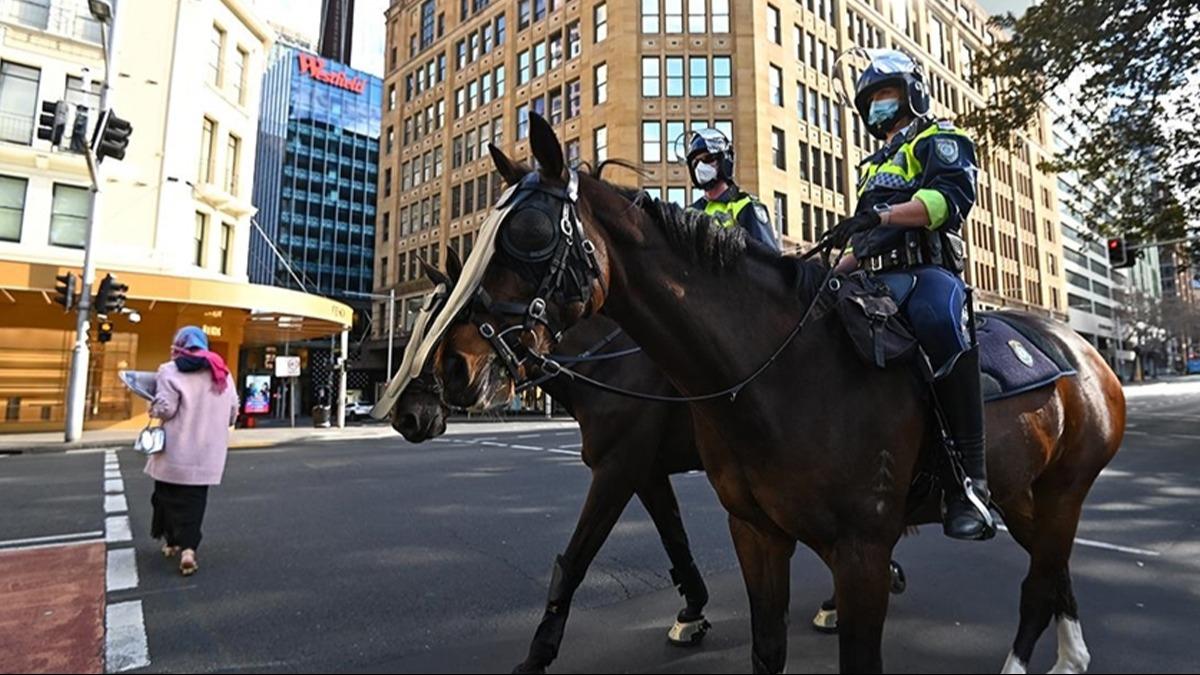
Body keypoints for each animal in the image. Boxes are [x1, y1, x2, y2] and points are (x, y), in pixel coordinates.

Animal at [429, 112, 1123, 667]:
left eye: (529, 233)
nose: (448, 373)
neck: (777, 374)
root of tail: (1086, 350)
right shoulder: (742, 525)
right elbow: (721, 597)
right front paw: (689, 614)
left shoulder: (856, 545)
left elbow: (577, 559)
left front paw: (541, 654)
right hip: (1025, 492)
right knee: (1052, 574)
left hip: (1062, 491)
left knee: (1038, 585)